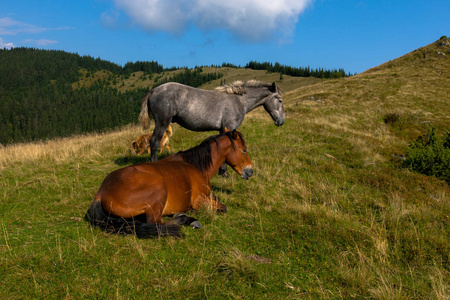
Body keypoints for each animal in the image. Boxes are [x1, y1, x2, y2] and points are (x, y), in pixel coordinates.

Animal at [85, 129, 253, 237]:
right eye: (244, 150)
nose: (250, 171)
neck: (196, 166)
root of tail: (101, 193)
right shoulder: (199, 200)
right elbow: (223, 207)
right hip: (158, 190)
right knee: (156, 223)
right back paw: (187, 219)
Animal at [139, 79, 284, 173]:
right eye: (280, 100)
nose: (281, 121)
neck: (239, 101)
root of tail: (153, 90)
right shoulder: (230, 127)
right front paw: (224, 173)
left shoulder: (222, 129)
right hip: (162, 122)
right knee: (154, 142)